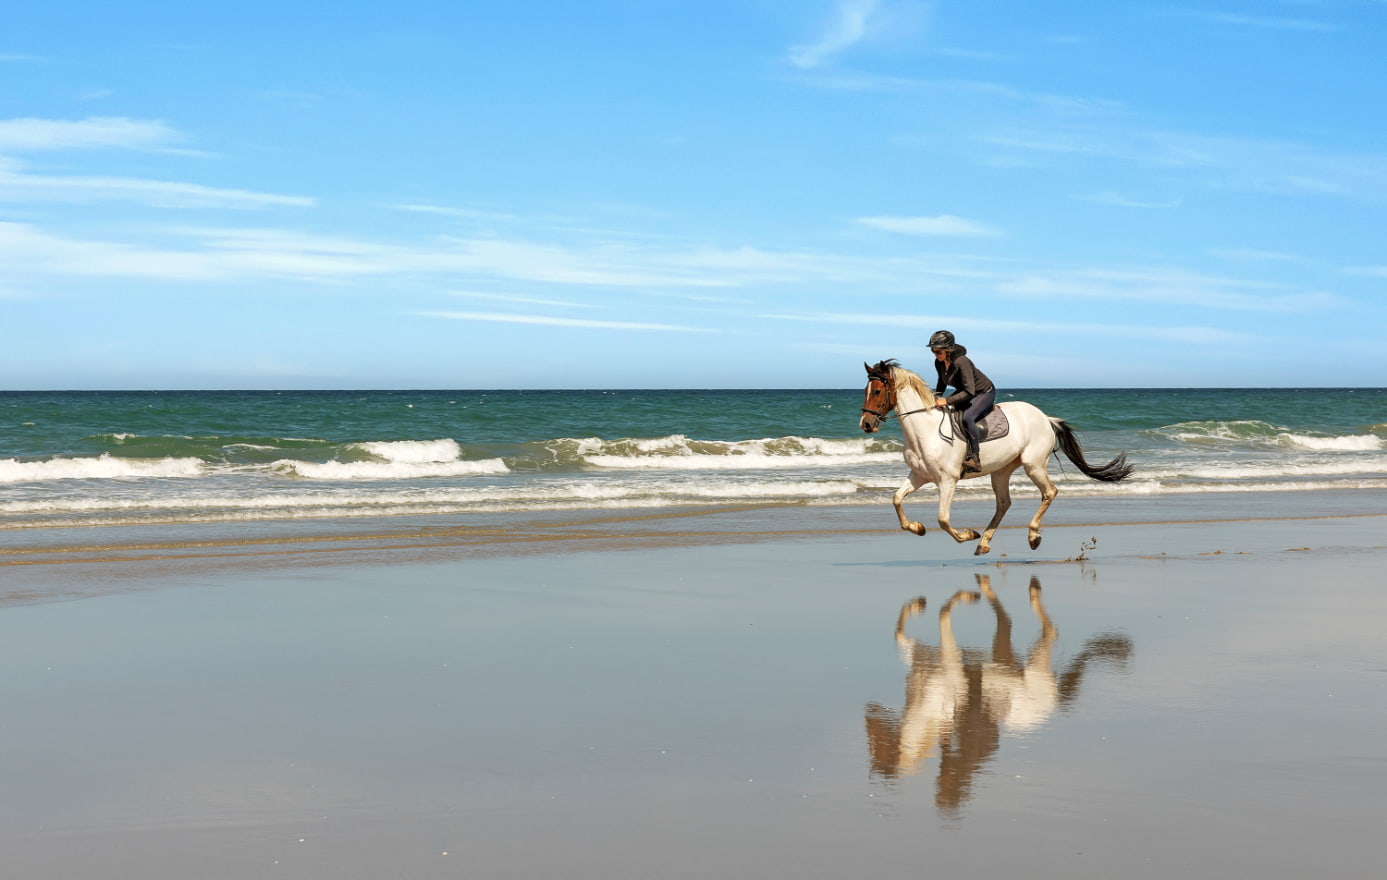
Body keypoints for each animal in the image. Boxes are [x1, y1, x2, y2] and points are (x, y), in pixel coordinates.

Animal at [859, 359, 1133, 555]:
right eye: (866, 390)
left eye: (878, 391)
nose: (866, 424)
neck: (924, 430)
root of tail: (1045, 417)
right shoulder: (919, 476)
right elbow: (896, 499)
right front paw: (917, 528)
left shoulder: (948, 481)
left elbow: (943, 519)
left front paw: (967, 534)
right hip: (1001, 470)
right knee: (1003, 503)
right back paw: (985, 543)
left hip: (1033, 465)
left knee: (1049, 492)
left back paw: (1032, 536)